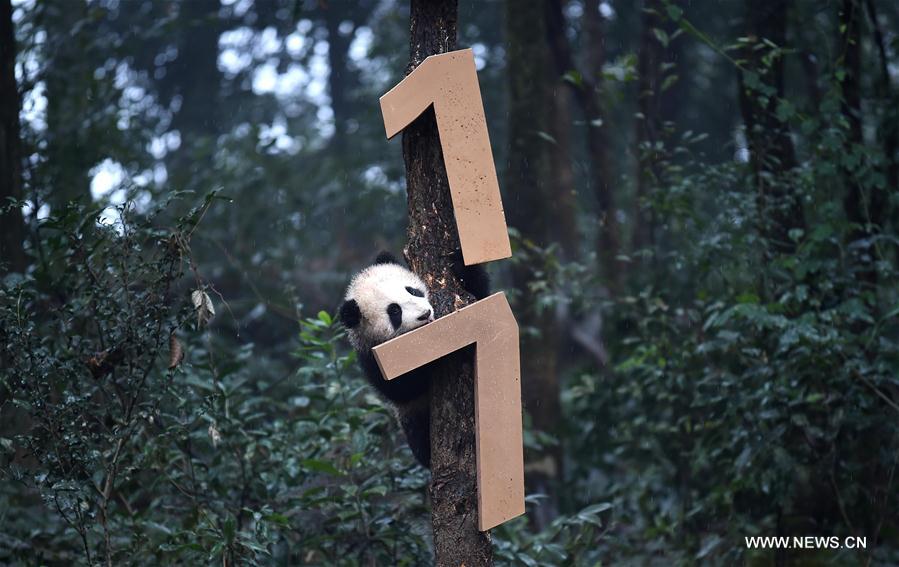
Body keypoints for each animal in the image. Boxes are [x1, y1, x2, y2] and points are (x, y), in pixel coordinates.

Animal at [338, 251, 489, 468]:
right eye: (394, 311)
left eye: (412, 291)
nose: (425, 314)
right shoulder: (373, 358)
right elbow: (405, 388)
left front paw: (459, 265)